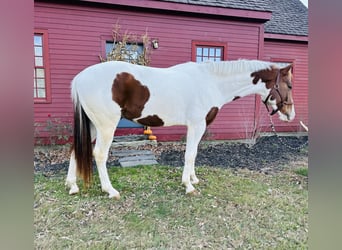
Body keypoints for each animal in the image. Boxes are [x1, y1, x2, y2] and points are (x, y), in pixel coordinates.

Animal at [65, 59, 296, 198]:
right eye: (290, 85)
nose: (290, 114)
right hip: (106, 126)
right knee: (99, 154)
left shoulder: (197, 126)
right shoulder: (197, 124)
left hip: (92, 125)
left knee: (75, 150)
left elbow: (193, 154)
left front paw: (193, 178)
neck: (211, 82)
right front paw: (188, 185)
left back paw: (72, 185)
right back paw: (110, 190)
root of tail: (80, 78)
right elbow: (190, 154)